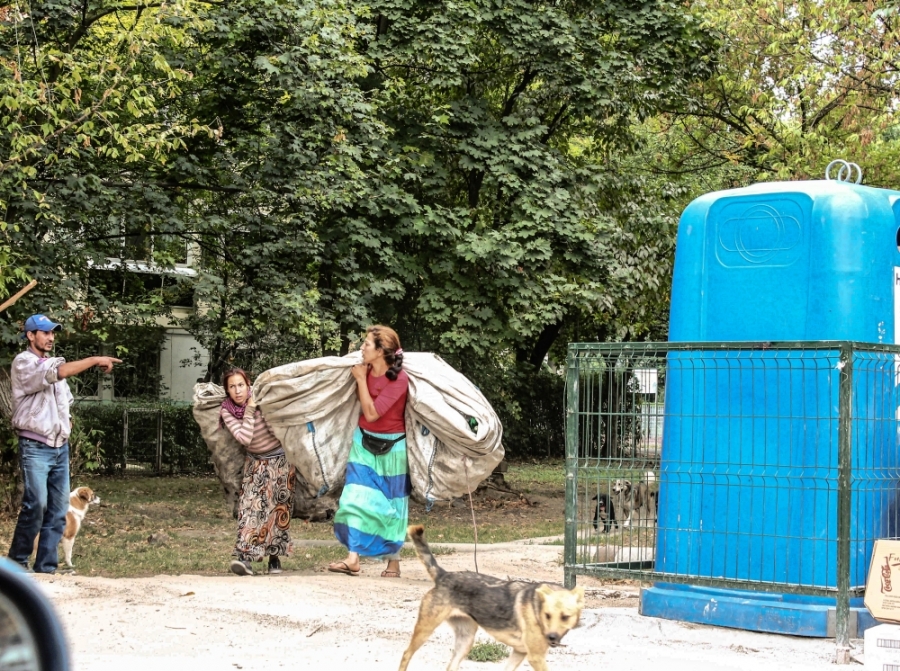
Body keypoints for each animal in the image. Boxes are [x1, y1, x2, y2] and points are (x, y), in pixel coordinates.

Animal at [400, 524, 584, 671]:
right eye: (547, 615)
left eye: (565, 617)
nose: (551, 638)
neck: (536, 609)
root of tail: (444, 575)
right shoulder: (535, 657)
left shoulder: (519, 652)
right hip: (425, 630)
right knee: (406, 654)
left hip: (465, 641)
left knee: (450, 666)